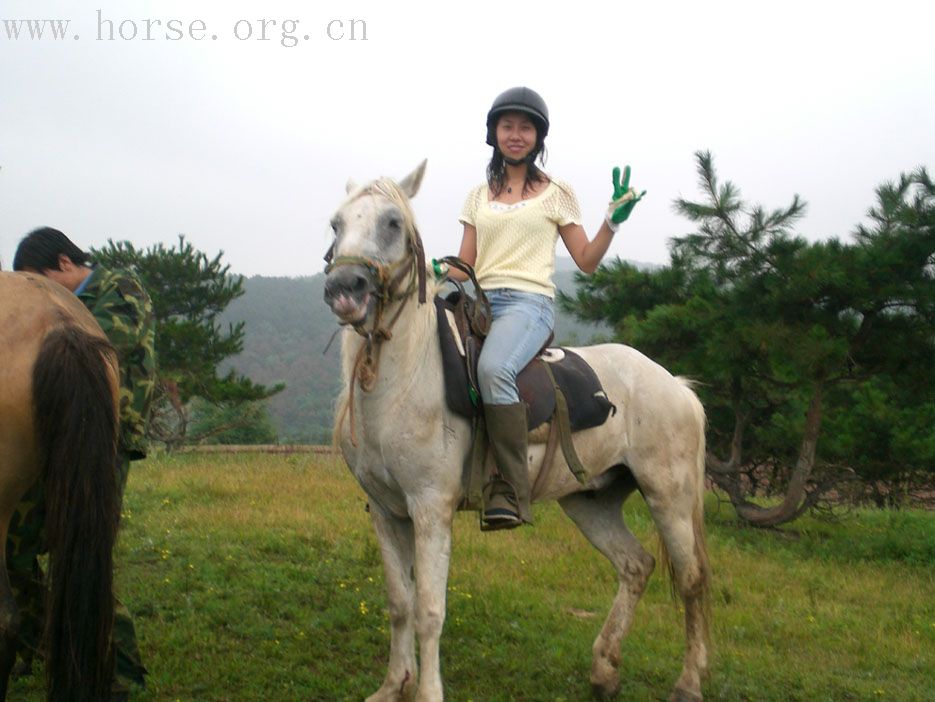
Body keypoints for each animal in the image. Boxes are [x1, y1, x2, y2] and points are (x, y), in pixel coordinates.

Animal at [322, 162, 708, 700]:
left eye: (393, 222)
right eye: (336, 224)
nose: (345, 288)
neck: (407, 379)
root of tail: (675, 385)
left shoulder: (430, 509)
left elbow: (428, 611)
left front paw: (426, 691)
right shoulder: (385, 510)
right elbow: (399, 603)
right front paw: (393, 685)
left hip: (668, 494)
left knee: (690, 580)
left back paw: (688, 682)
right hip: (591, 500)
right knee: (636, 566)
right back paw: (604, 669)